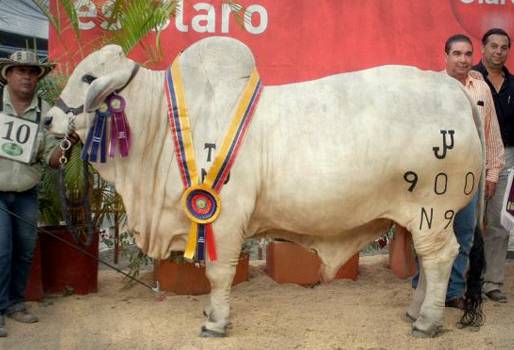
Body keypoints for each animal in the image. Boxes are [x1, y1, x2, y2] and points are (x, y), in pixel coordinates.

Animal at [46, 37, 482, 338]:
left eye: (88, 78)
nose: (49, 118)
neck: (165, 125)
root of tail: (453, 88)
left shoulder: (223, 217)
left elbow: (218, 273)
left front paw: (216, 322)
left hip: (432, 209)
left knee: (440, 259)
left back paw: (427, 322)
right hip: (419, 216)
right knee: (426, 262)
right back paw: (415, 311)